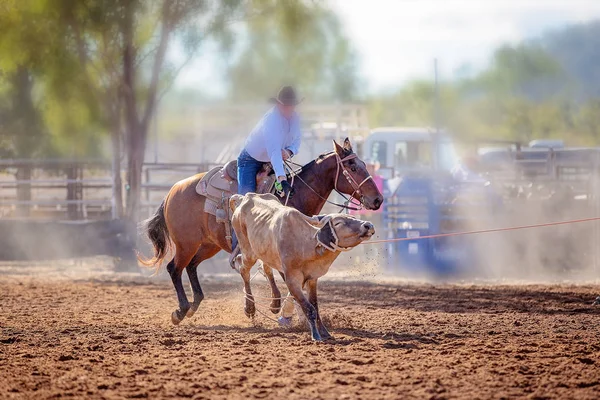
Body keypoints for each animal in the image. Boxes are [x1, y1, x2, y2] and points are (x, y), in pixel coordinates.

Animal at [138, 138, 382, 324]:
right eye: (353, 167)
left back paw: (195, 303)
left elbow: (272, 271)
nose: (378, 199)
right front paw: (287, 313)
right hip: (186, 243)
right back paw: (181, 310)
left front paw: (278, 307)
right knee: (174, 268)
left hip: (208, 245)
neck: (294, 194)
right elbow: (282, 276)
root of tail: (172, 191)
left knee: (190, 267)